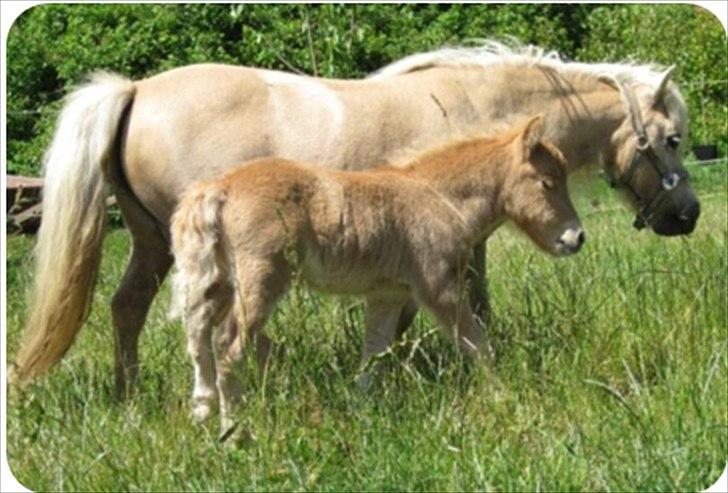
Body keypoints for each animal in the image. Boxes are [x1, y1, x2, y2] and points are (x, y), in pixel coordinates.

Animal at [12, 41, 700, 392]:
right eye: (671, 139)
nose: (688, 215)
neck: (480, 108)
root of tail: (135, 90)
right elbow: (469, 308)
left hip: (154, 242)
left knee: (127, 307)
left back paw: (129, 396)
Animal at [168, 116, 584, 426]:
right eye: (548, 182)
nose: (576, 237)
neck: (439, 196)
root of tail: (220, 187)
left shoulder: (387, 295)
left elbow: (374, 351)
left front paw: (358, 406)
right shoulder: (440, 287)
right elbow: (475, 344)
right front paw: (502, 397)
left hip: (219, 281)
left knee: (198, 333)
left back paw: (202, 412)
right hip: (261, 280)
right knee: (228, 344)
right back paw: (233, 429)